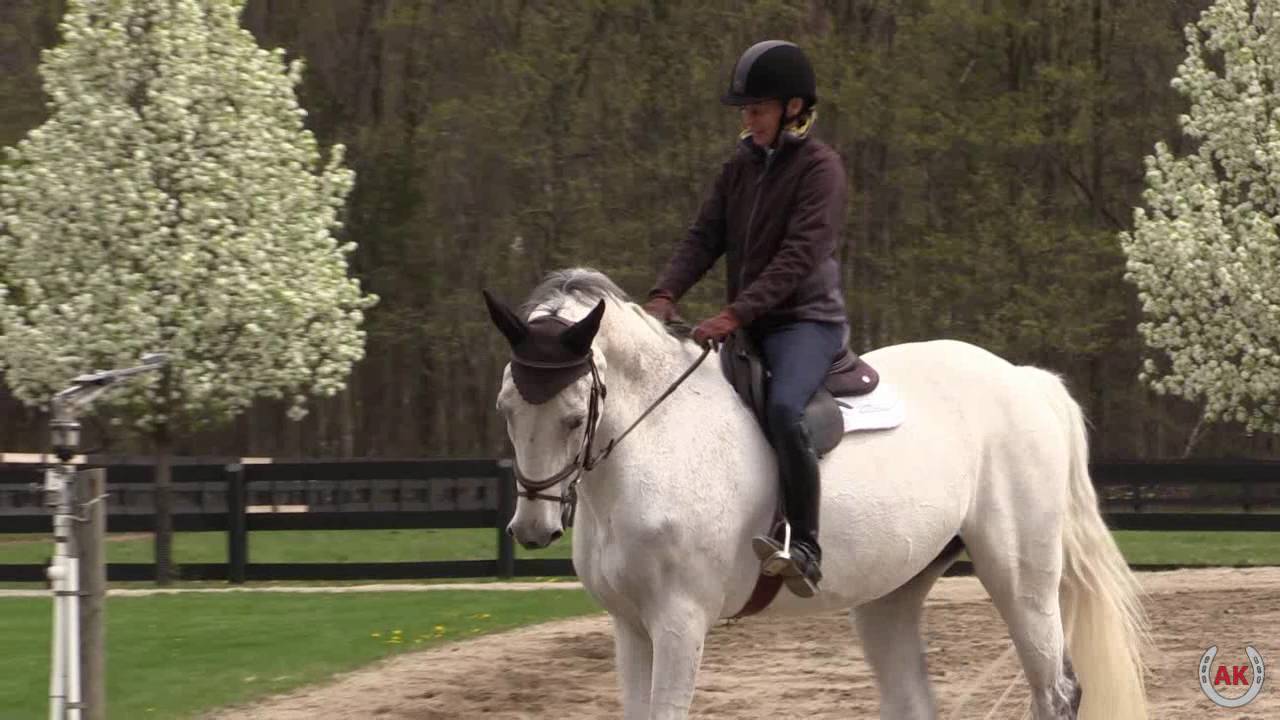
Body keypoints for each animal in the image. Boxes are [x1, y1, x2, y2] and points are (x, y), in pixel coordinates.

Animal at [484, 268, 1149, 720]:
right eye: (506, 409)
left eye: (574, 418)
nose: (533, 529)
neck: (655, 441)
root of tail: (1024, 380)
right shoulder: (630, 626)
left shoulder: (679, 621)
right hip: (891, 595)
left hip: (1021, 582)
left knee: (1056, 691)